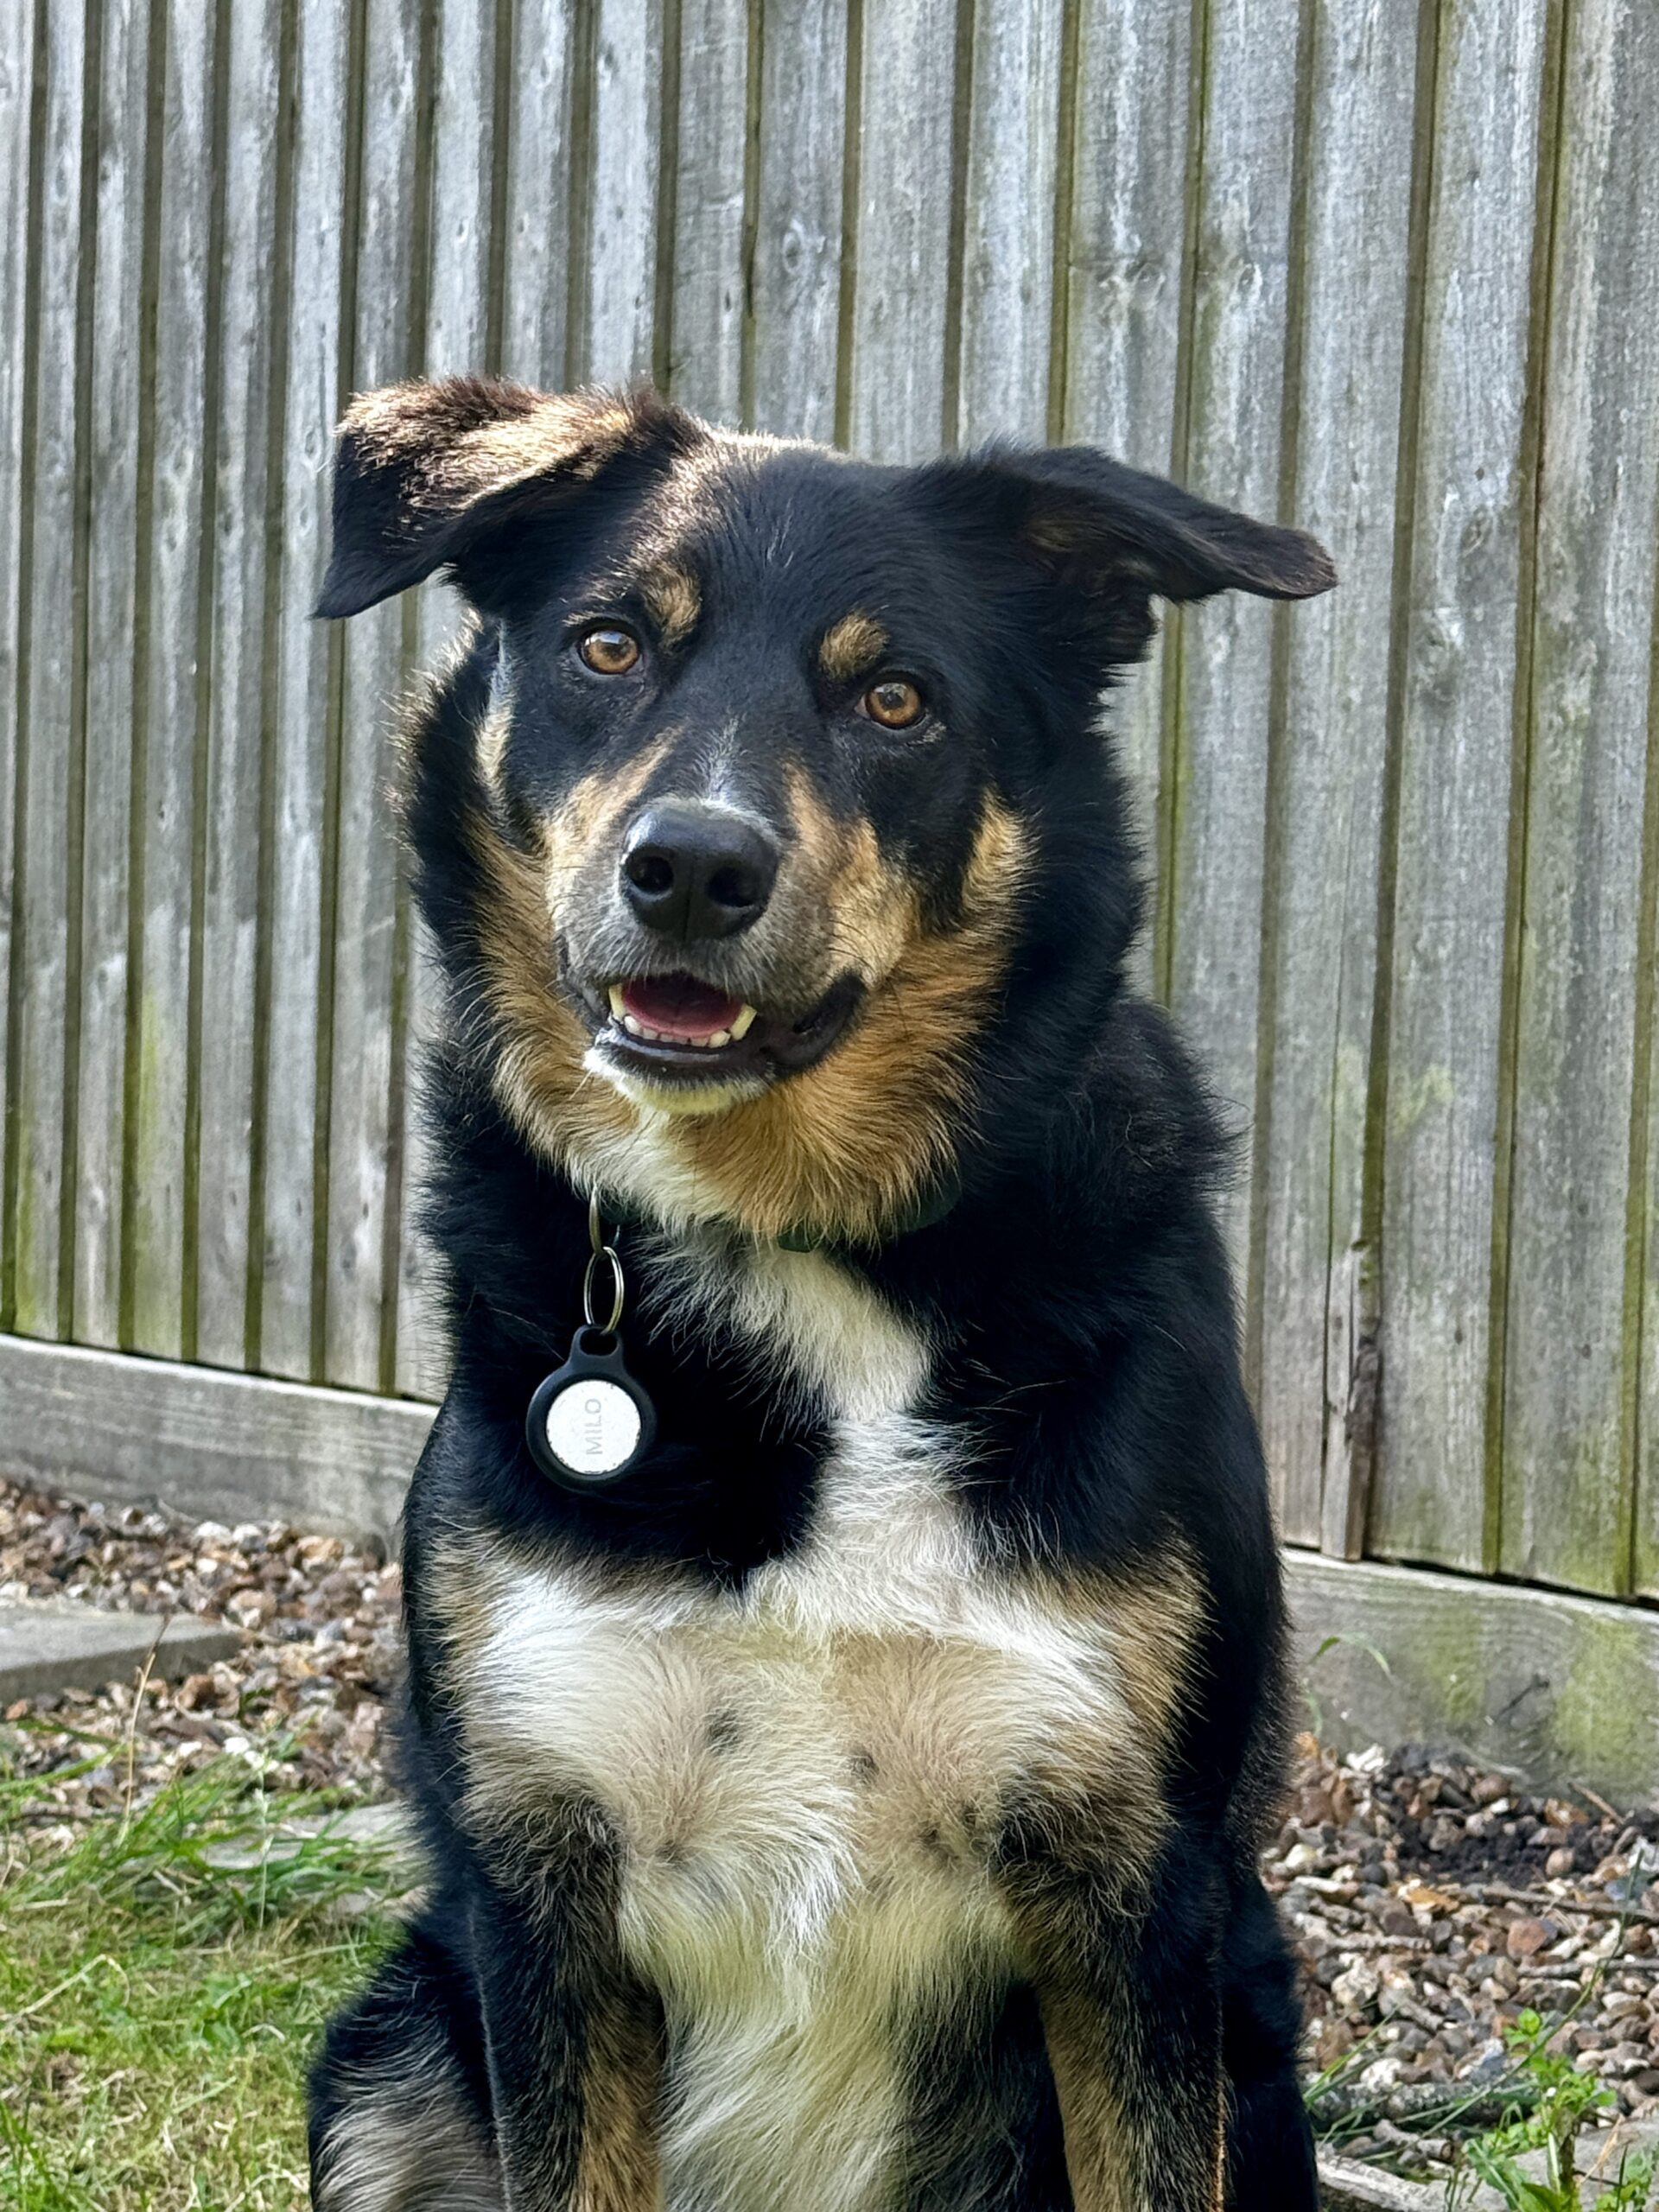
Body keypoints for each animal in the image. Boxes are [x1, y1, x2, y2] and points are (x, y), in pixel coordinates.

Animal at [302, 372, 1336, 2202]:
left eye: (897, 699)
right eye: (609, 646)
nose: (694, 868)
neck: (799, 1242)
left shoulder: (1137, 1902)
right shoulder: (541, 1893)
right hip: (383, 2055)